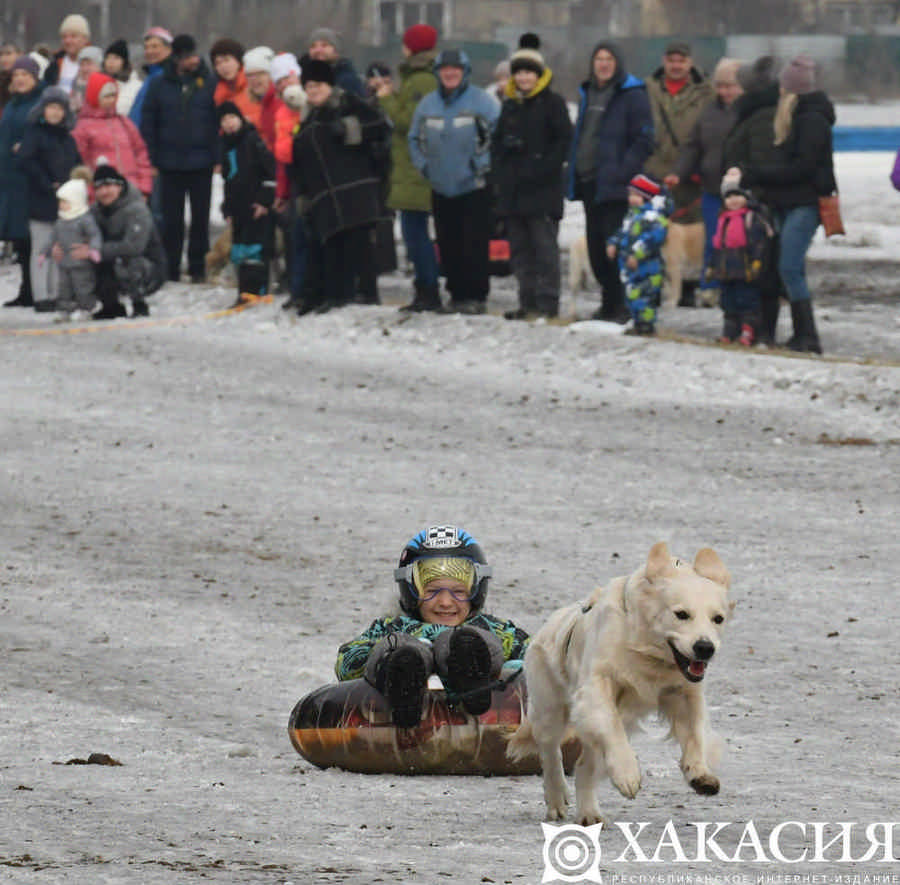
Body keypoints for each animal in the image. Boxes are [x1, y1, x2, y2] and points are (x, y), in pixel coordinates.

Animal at [506, 544, 732, 824]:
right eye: (681, 614)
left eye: (718, 619)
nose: (705, 648)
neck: (647, 652)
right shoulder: (595, 688)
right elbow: (611, 727)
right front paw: (627, 774)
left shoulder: (683, 693)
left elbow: (695, 732)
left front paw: (699, 773)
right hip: (550, 709)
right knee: (550, 751)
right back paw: (557, 798)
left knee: (584, 766)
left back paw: (589, 813)